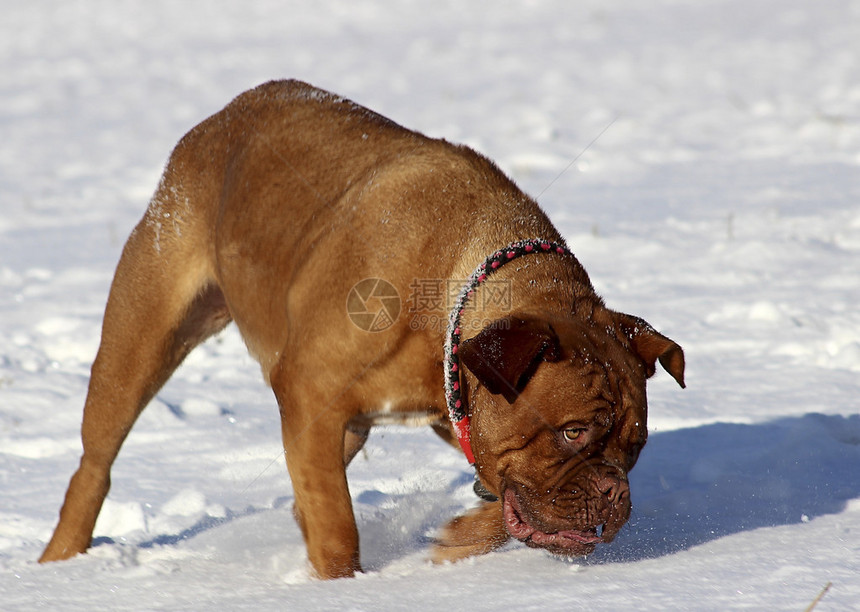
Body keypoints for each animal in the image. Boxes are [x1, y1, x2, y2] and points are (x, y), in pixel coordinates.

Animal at [38, 81, 684, 580]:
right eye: (573, 433)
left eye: (635, 447)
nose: (614, 491)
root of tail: (220, 117)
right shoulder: (310, 398)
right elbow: (336, 523)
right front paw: (342, 585)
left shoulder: (452, 409)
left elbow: (496, 493)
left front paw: (461, 539)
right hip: (142, 335)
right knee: (96, 461)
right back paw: (61, 561)